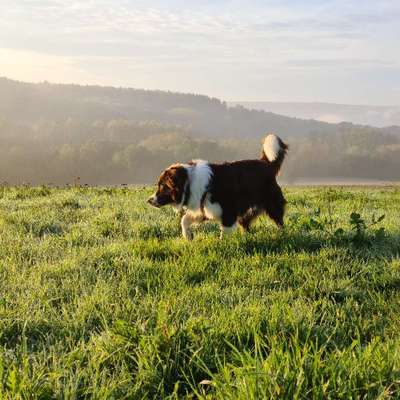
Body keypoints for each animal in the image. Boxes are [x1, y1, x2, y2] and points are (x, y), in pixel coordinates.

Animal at [147, 134, 288, 241]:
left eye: (162, 186)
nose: (148, 200)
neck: (190, 181)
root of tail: (266, 164)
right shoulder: (204, 209)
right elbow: (184, 220)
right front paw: (188, 237)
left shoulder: (228, 211)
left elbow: (224, 234)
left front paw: (222, 245)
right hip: (250, 210)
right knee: (245, 223)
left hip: (272, 204)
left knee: (279, 221)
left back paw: (282, 235)